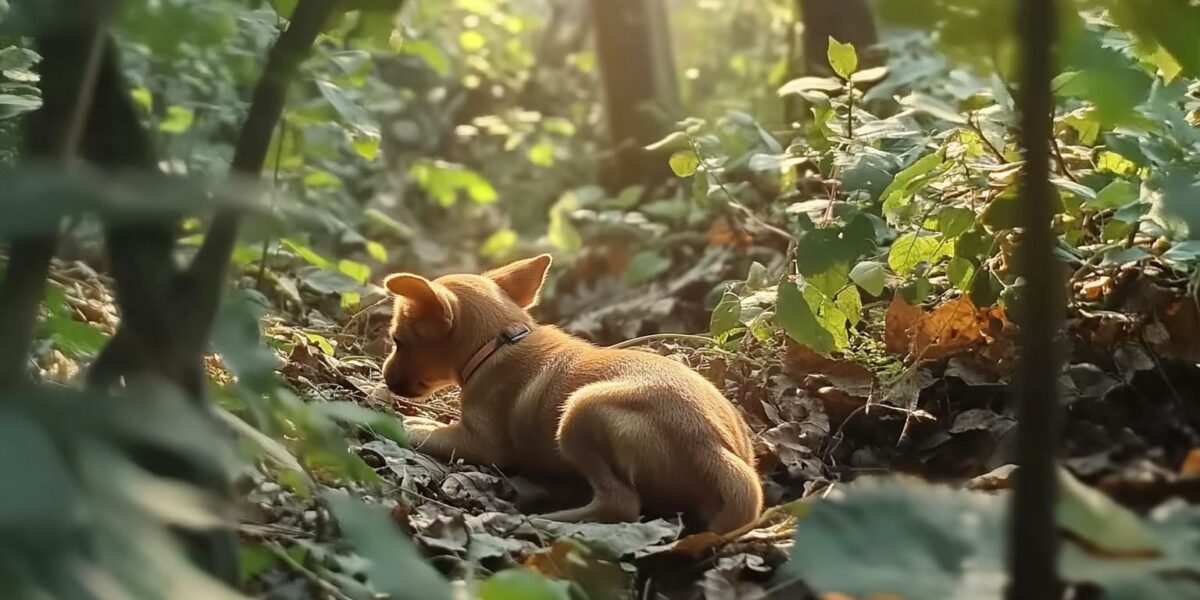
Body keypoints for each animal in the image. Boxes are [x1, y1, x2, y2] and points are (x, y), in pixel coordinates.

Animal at [381, 255, 758, 532]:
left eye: (398, 339)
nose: (385, 379)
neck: (498, 341)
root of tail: (716, 451)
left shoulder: (483, 442)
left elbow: (435, 436)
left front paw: (409, 425)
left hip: (581, 409)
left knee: (620, 504)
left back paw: (547, 521)